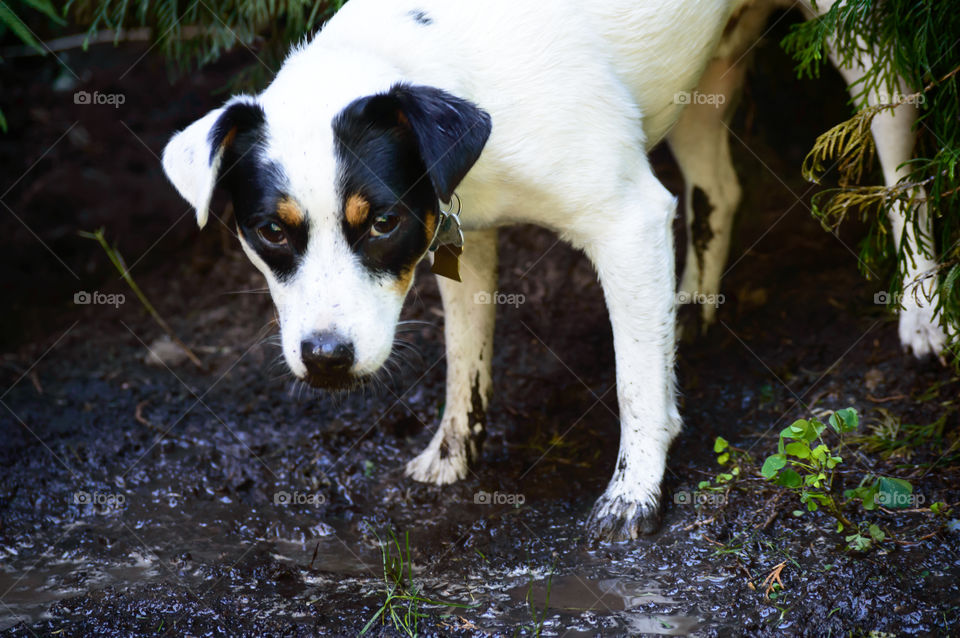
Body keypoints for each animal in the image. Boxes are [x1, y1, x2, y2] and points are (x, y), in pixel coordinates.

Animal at [161, 0, 948, 544]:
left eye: (381, 221)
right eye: (270, 231)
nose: (325, 358)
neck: (445, 60)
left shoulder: (627, 220)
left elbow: (634, 382)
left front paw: (635, 492)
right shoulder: (461, 233)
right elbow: (465, 359)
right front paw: (452, 454)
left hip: (863, 50)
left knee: (904, 173)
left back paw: (923, 318)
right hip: (700, 78)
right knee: (719, 189)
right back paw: (688, 308)